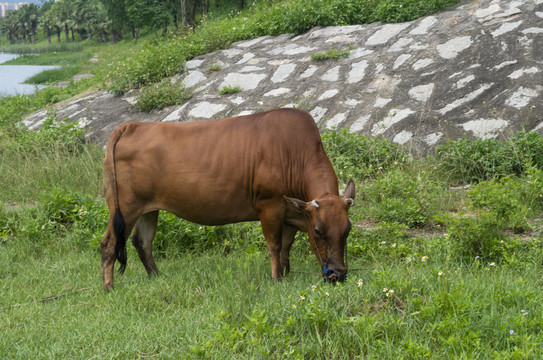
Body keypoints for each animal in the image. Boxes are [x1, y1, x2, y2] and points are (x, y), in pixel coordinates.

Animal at [101, 108, 356, 292]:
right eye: (318, 230)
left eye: (347, 230)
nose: (338, 274)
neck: (294, 152)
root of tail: (134, 125)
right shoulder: (270, 205)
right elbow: (274, 245)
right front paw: (277, 279)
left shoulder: (291, 212)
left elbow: (286, 246)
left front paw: (286, 273)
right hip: (125, 208)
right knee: (109, 243)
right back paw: (108, 288)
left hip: (148, 209)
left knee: (142, 242)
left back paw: (156, 277)